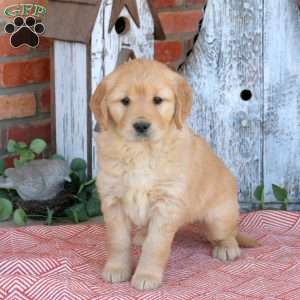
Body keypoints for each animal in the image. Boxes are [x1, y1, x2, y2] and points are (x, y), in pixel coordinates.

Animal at [89, 59, 258, 290]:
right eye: (125, 101)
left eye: (157, 100)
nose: (141, 125)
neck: (141, 151)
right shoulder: (113, 201)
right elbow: (118, 241)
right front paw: (116, 269)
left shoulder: (167, 203)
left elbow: (155, 245)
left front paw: (147, 275)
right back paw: (141, 235)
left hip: (220, 216)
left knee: (227, 232)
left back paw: (227, 247)